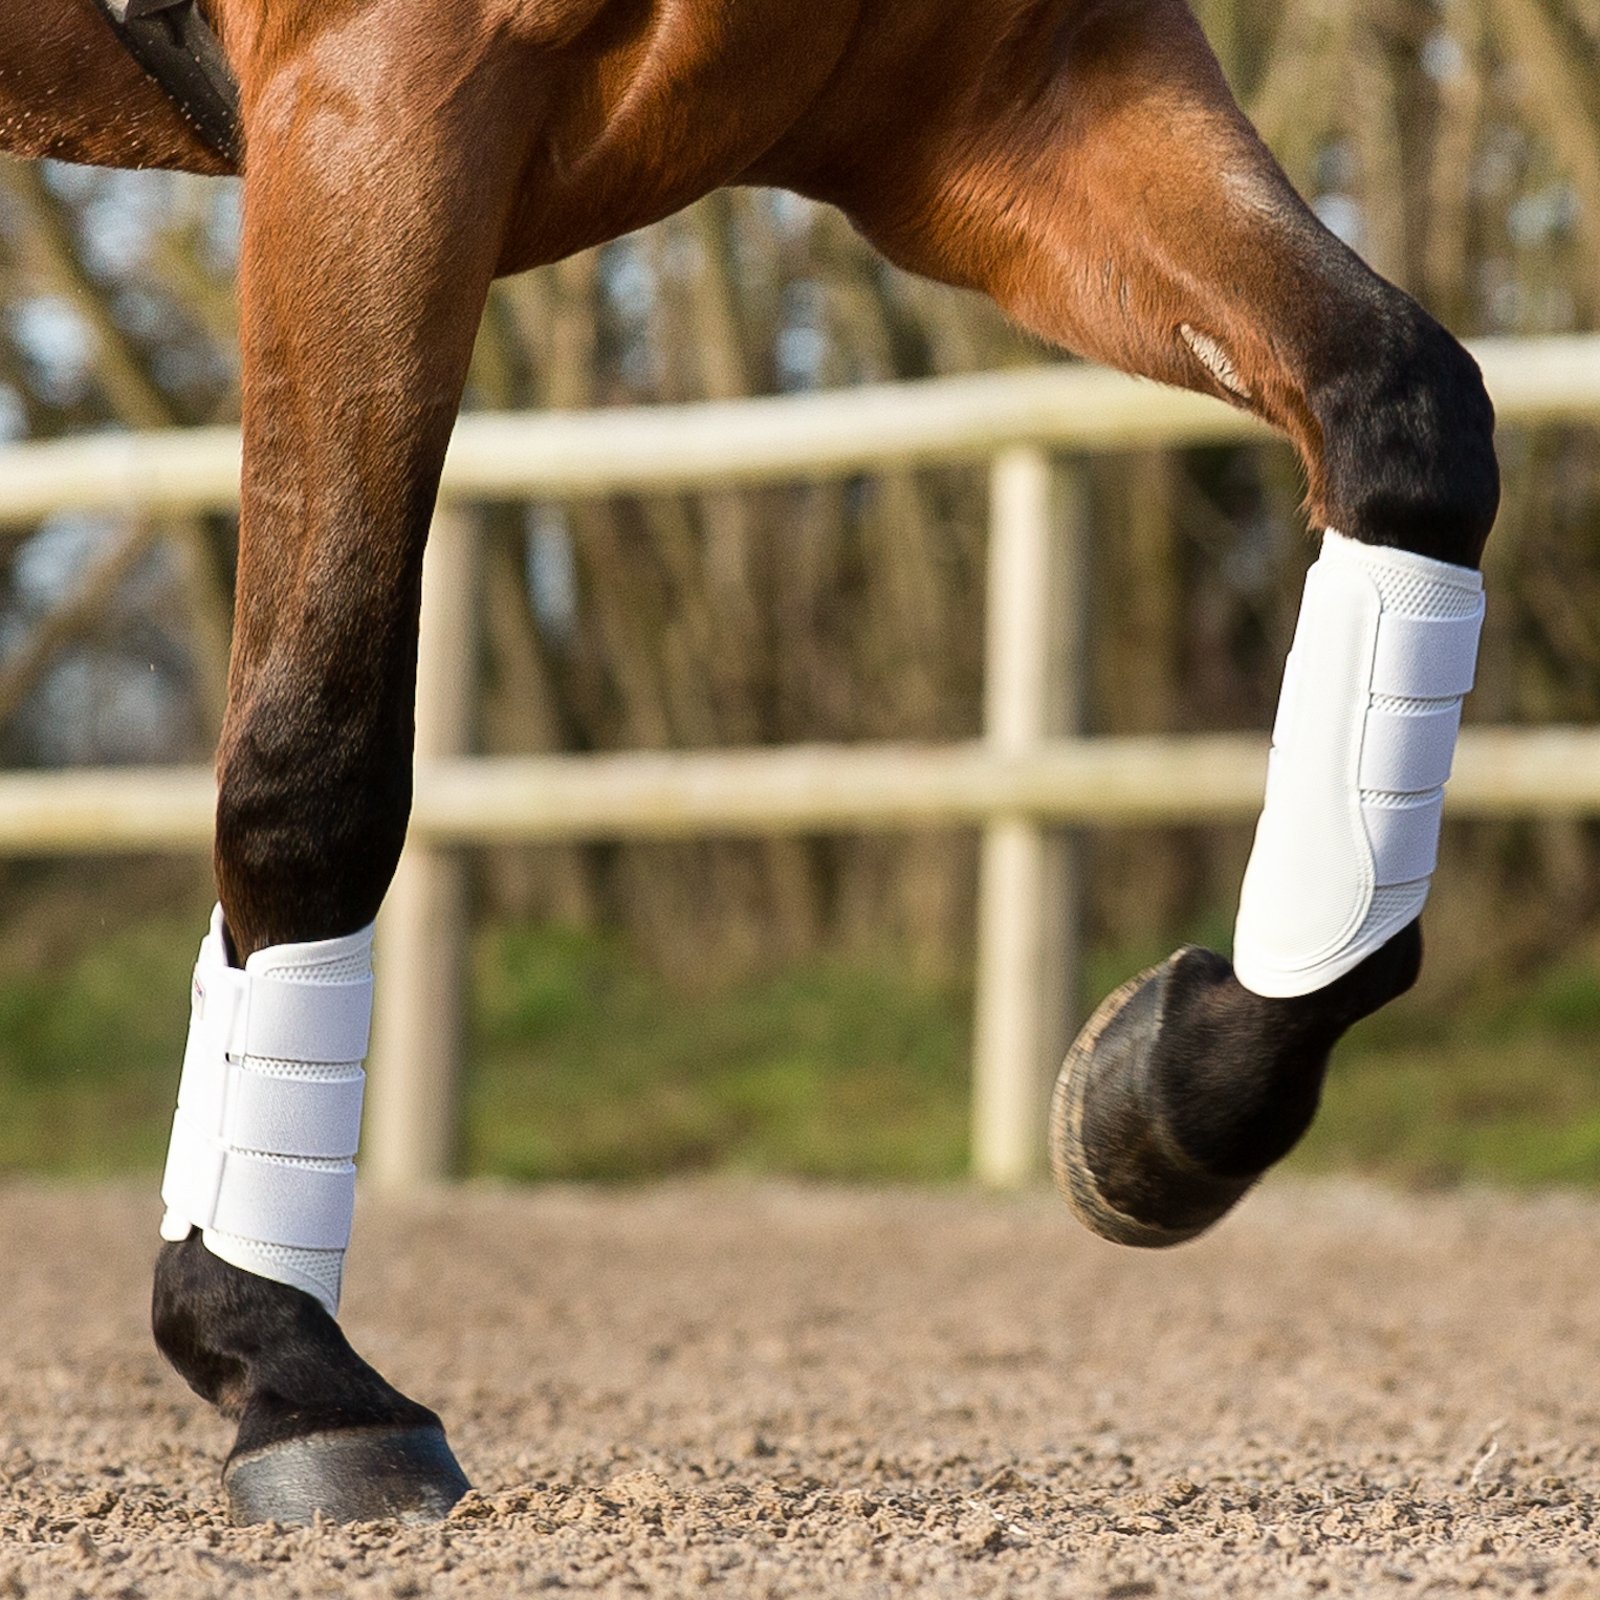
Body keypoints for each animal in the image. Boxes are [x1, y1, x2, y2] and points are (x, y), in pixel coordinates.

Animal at [2, 0, 1498, 1526]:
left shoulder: (1027, 96)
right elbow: (320, 751)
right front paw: (280, 1355)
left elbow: (1403, 405)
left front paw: (1174, 1087)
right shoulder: (377, 103)